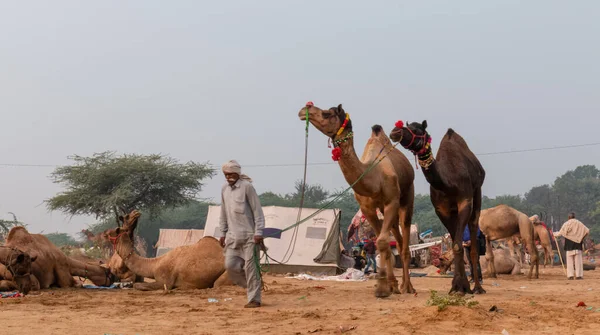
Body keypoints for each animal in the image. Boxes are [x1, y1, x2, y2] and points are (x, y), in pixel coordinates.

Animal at [300, 102, 418, 296]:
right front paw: (390, 285)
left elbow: (382, 242)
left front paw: (382, 288)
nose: (304, 109)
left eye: (327, 113)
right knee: (398, 241)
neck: (374, 177)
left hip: (407, 196)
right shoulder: (367, 209)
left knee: (405, 237)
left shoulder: (391, 201)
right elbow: (382, 244)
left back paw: (408, 287)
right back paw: (399, 285)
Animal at [390, 121, 488, 296]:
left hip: (477, 193)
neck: (448, 183)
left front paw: (462, 287)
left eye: (417, 129)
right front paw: (457, 286)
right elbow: (455, 244)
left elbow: (458, 245)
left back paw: (478, 287)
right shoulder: (441, 210)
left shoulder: (465, 201)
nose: (395, 131)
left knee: (473, 236)